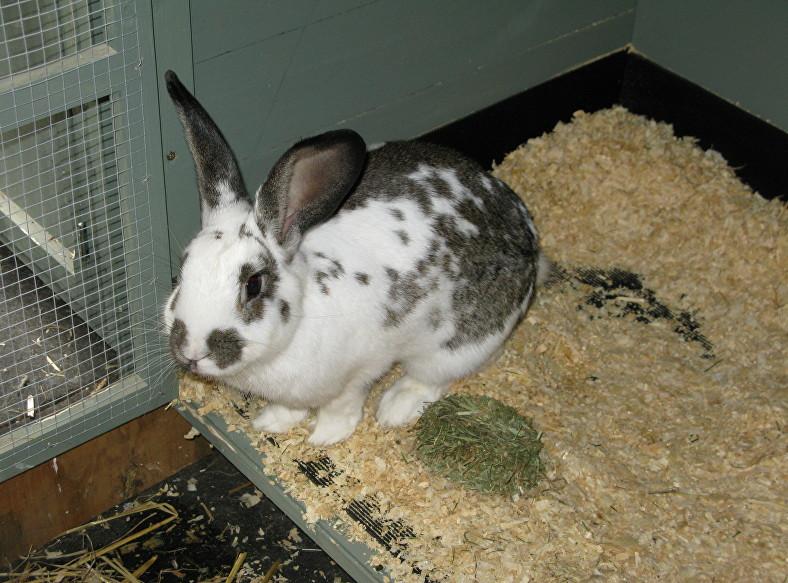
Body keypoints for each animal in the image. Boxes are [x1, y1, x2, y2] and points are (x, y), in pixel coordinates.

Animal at [162, 70, 544, 446]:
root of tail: (528, 236)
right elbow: (288, 409)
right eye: (181, 270)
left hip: (453, 347)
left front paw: (324, 437)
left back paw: (395, 407)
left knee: (432, 377)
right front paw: (270, 422)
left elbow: (341, 407)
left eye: (253, 284)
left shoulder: (358, 374)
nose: (192, 351)